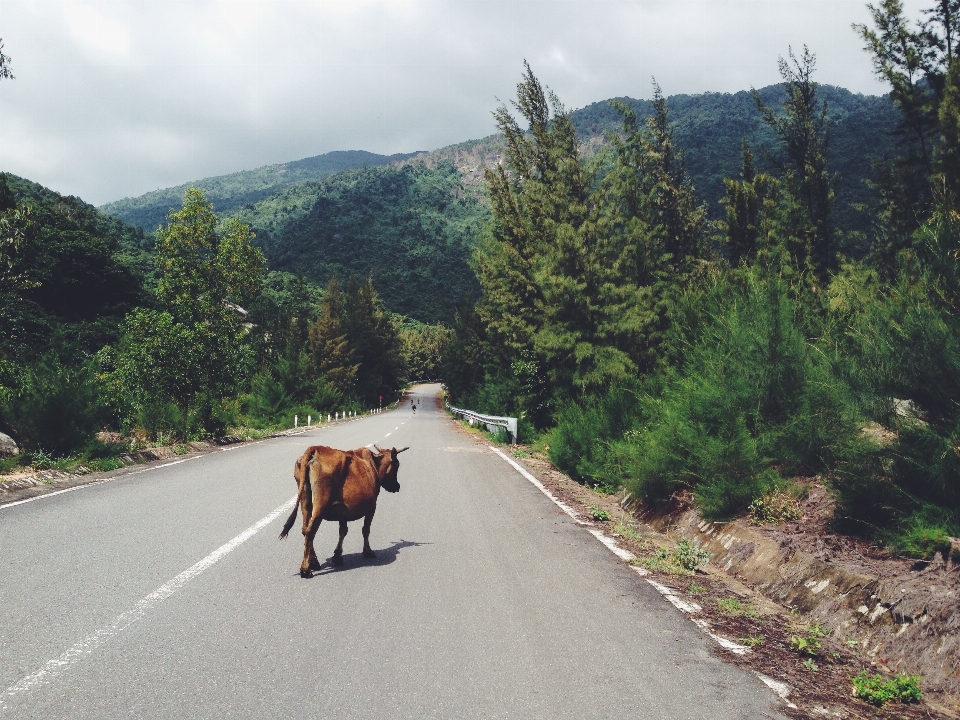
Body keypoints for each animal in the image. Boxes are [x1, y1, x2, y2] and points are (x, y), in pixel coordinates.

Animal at [282, 442, 408, 576]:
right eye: (397, 465)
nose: (397, 486)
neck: (374, 464)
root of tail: (315, 449)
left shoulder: (342, 511)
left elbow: (343, 531)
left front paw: (337, 556)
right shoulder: (372, 506)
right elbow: (365, 530)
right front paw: (367, 551)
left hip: (305, 499)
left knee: (305, 529)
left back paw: (314, 562)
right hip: (320, 504)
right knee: (310, 531)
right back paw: (305, 569)